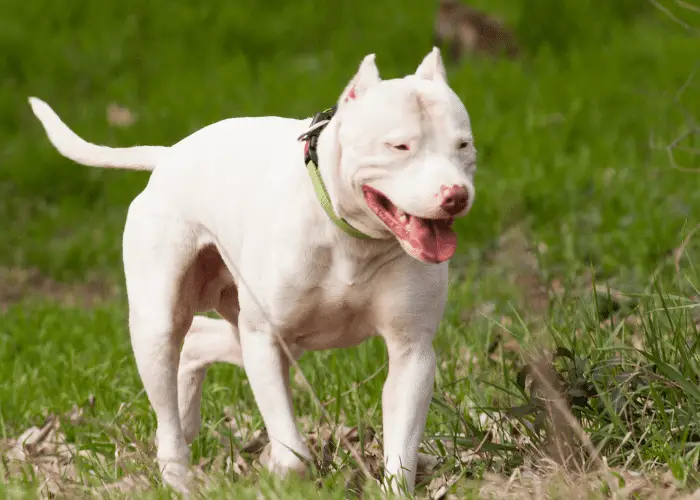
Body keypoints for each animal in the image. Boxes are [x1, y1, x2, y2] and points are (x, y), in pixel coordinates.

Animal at [27, 48, 476, 494]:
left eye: (463, 144)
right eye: (400, 146)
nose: (456, 195)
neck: (351, 238)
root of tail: (169, 155)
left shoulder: (412, 350)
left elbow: (400, 450)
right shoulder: (264, 337)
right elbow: (293, 453)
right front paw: (282, 470)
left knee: (197, 342)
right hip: (160, 322)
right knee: (169, 377)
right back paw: (177, 473)